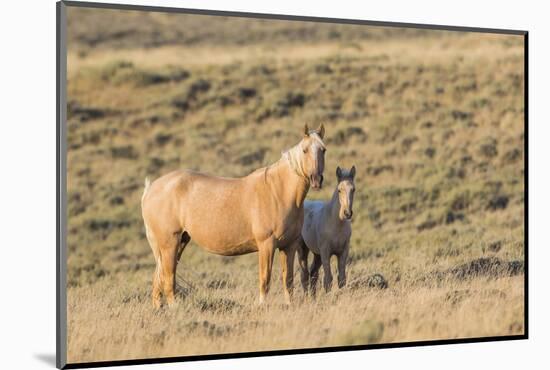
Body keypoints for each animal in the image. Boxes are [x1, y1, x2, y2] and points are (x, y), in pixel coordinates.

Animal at [140, 123, 328, 306]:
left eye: (323, 149)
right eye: (305, 150)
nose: (316, 179)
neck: (278, 191)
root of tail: (151, 189)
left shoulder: (289, 246)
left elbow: (287, 280)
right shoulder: (266, 245)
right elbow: (265, 279)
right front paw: (262, 305)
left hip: (178, 243)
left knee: (158, 282)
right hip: (169, 244)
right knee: (168, 280)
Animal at [300, 166, 356, 294]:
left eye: (353, 189)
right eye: (339, 190)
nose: (347, 213)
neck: (336, 225)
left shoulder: (343, 251)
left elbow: (341, 279)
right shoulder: (326, 252)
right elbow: (328, 279)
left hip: (317, 254)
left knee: (313, 273)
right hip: (303, 248)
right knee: (304, 275)